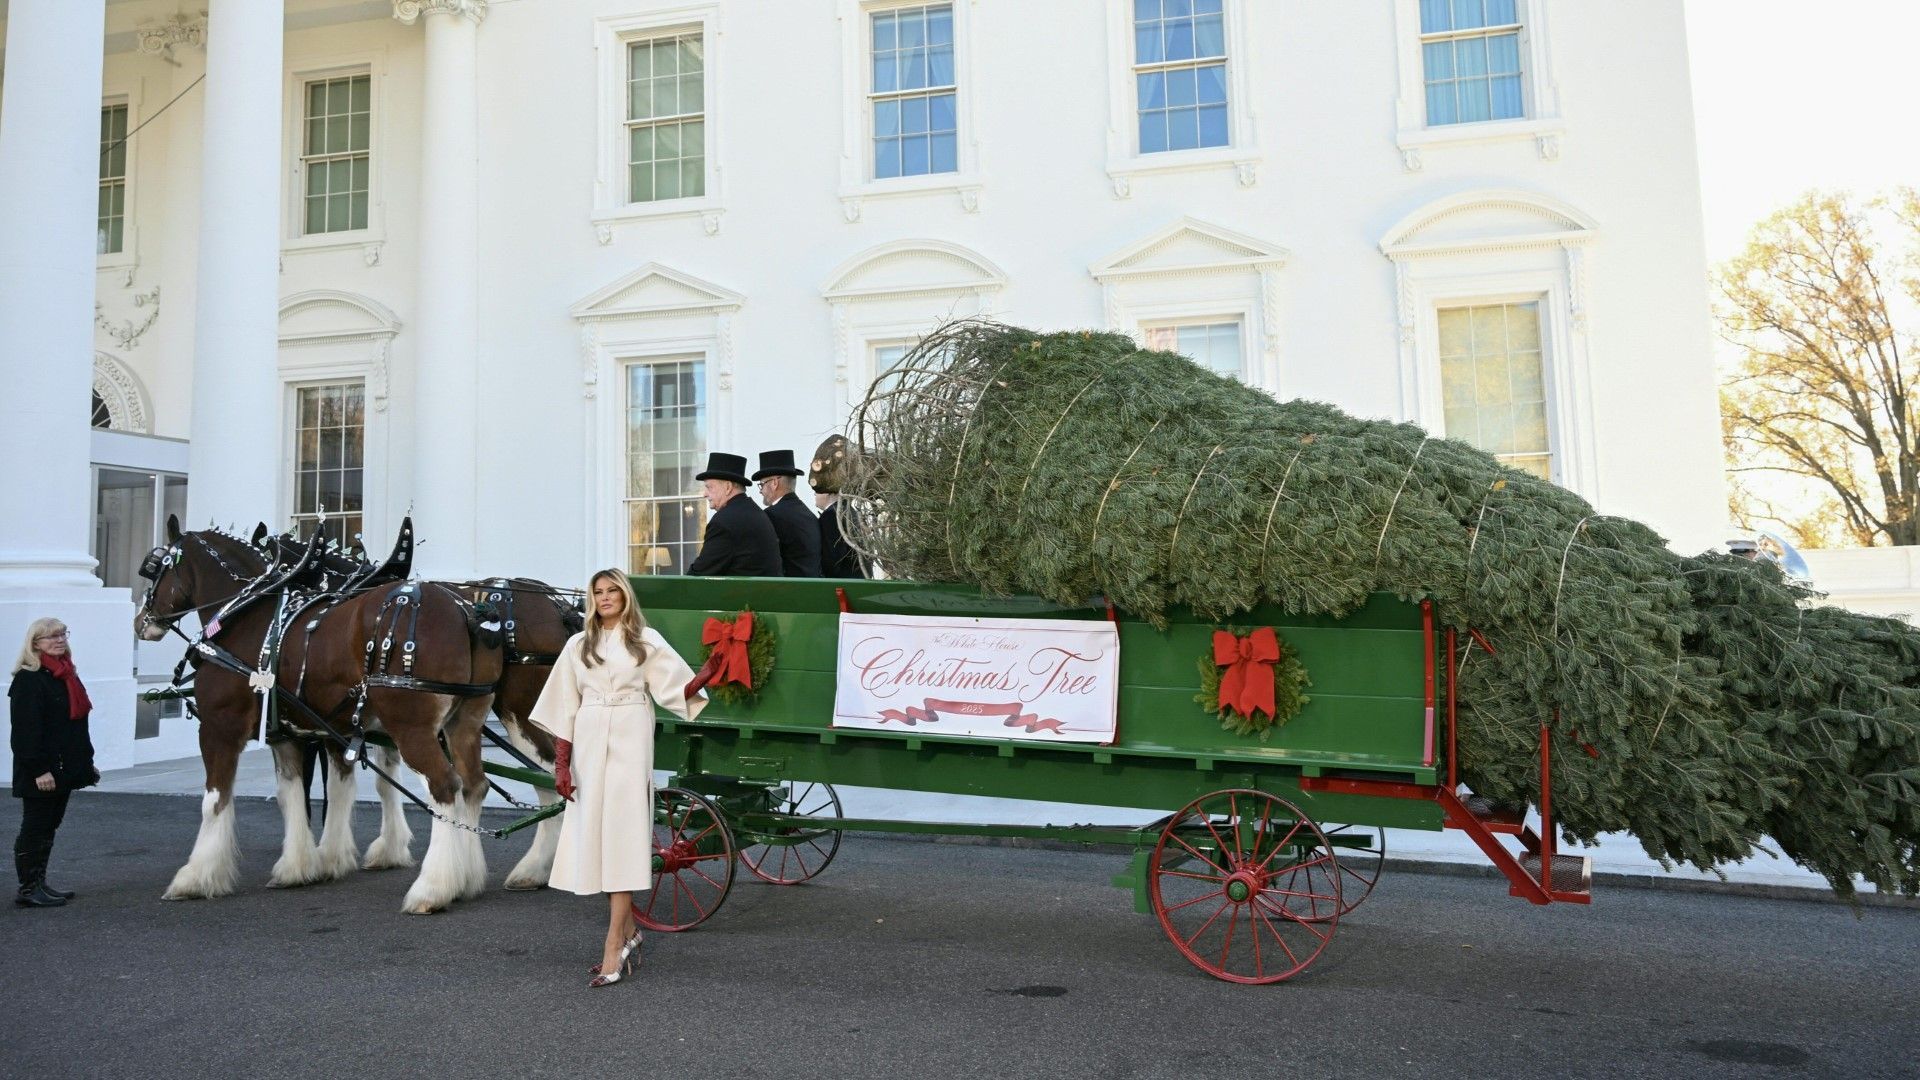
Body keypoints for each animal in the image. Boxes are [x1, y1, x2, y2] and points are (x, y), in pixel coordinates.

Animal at [136, 517, 505, 914]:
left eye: (154, 567)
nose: (141, 622)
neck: (246, 615)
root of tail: (467, 612)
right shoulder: (292, 733)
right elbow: (300, 793)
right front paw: (303, 865)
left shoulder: (220, 727)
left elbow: (214, 801)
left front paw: (196, 876)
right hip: (463, 723)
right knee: (472, 785)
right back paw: (467, 880)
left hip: (413, 728)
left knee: (445, 787)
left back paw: (433, 888)